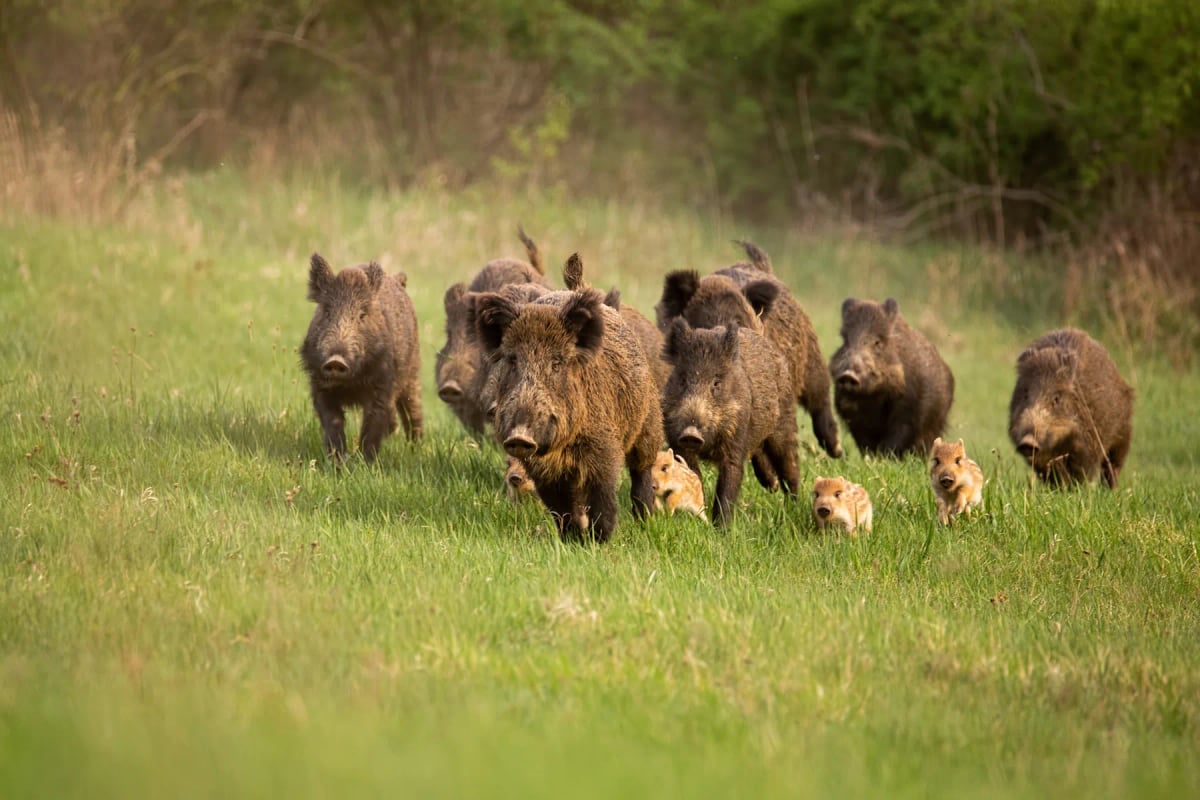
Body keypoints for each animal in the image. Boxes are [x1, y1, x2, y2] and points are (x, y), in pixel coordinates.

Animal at [300, 253, 422, 462]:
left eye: (362, 315)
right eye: (327, 311)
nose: (336, 360)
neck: (350, 384)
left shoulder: (382, 386)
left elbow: (372, 424)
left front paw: (366, 463)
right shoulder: (320, 385)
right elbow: (332, 421)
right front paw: (337, 462)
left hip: (412, 372)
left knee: (413, 409)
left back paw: (418, 448)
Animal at [476, 282, 663, 543]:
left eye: (557, 363)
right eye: (513, 360)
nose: (520, 437)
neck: (562, 447)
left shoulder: (604, 450)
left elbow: (603, 497)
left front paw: (599, 540)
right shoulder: (543, 472)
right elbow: (560, 508)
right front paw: (572, 540)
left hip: (648, 423)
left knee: (641, 470)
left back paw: (645, 518)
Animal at [661, 319, 800, 526]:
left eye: (716, 383)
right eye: (683, 380)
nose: (690, 434)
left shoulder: (735, 439)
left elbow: (729, 482)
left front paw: (722, 529)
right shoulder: (677, 441)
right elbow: (693, 475)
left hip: (785, 422)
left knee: (789, 465)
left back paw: (793, 505)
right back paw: (773, 487)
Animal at [829, 297, 955, 457]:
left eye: (878, 342)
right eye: (845, 341)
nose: (848, 375)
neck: (872, 396)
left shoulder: (908, 411)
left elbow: (894, 440)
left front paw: (883, 459)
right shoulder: (852, 417)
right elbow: (866, 444)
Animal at [1008, 328, 1133, 488]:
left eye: (1056, 398)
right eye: (1025, 394)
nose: (1028, 441)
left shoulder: (1087, 444)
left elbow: (1081, 472)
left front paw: (1075, 489)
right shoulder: (1042, 457)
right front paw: (1057, 489)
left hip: (1123, 433)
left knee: (1113, 465)